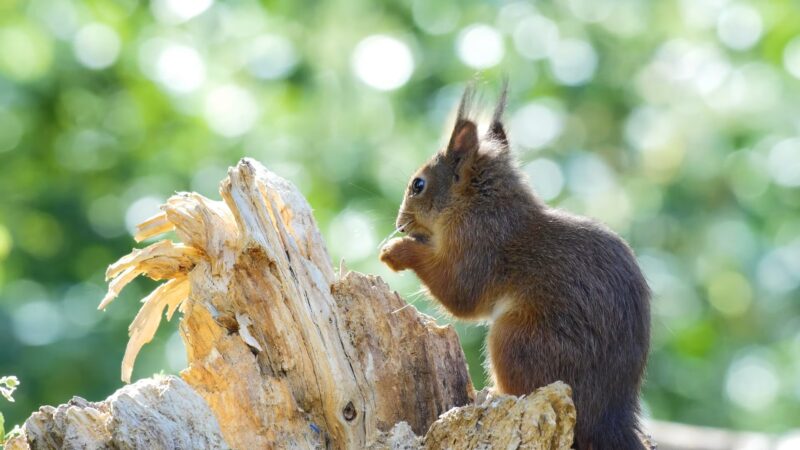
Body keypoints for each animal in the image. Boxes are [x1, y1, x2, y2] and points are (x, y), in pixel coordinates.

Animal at [380, 85, 648, 450]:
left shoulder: (479, 247)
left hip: (516, 339)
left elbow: (459, 294)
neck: (481, 204)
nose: (400, 224)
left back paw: (493, 394)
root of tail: (608, 416)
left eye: (418, 185)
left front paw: (397, 250)